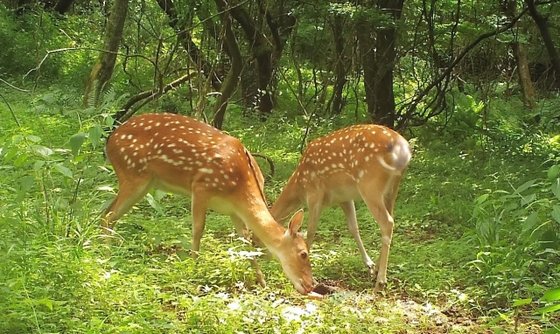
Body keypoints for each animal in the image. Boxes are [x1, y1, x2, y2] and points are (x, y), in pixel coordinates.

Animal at [270, 124, 410, 290]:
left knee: (387, 222)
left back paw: (381, 281)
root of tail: (404, 151)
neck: (299, 186)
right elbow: (353, 228)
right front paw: (368, 264)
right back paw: (376, 269)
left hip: (370, 185)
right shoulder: (344, 198)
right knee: (390, 220)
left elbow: (310, 231)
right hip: (391, 189)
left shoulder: (314, 194)